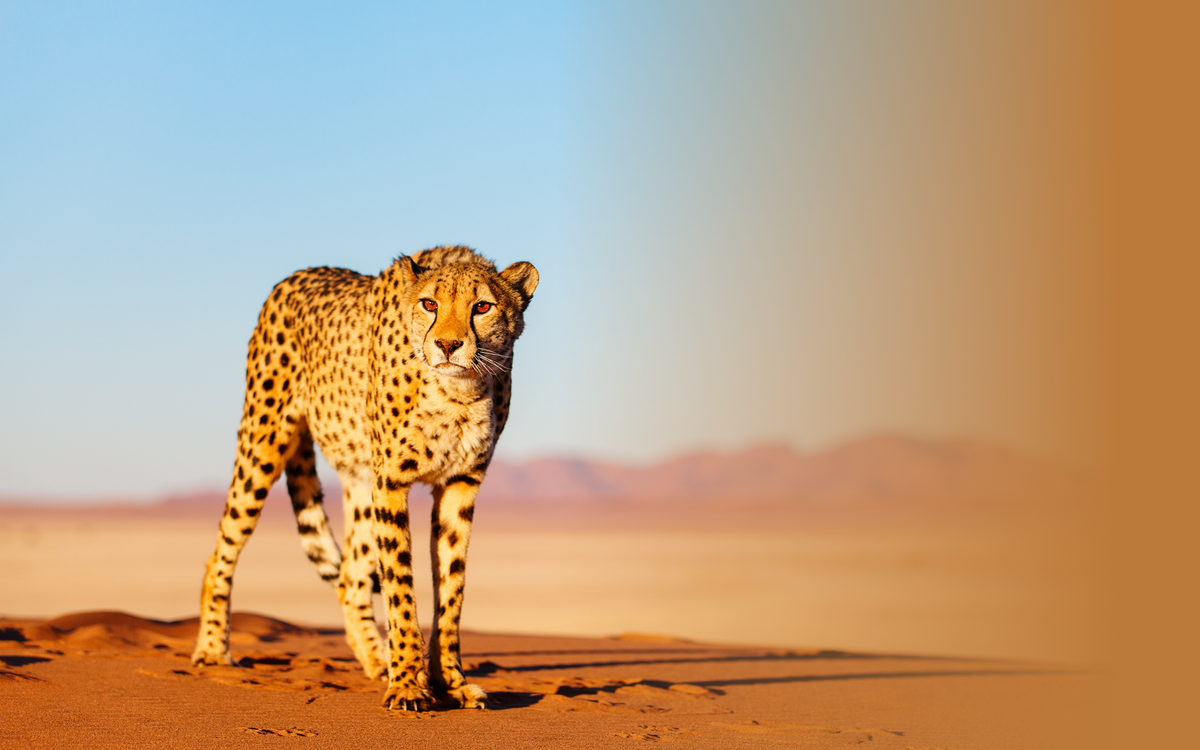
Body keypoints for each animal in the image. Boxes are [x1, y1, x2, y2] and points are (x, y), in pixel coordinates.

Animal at [190, 245, 538, 711]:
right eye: (429, 304)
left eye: (482, 307)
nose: (448, 345)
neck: (458, 393)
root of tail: (297, 274)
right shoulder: (390, 482)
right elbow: (400, 587)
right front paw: (408, 684)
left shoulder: (459, 485)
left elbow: (451, 591)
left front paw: (450, 682)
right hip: (262, 446)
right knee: (222, 552)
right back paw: (213, 649)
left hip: (357, 481)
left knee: (350, 578)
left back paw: (376, 661)